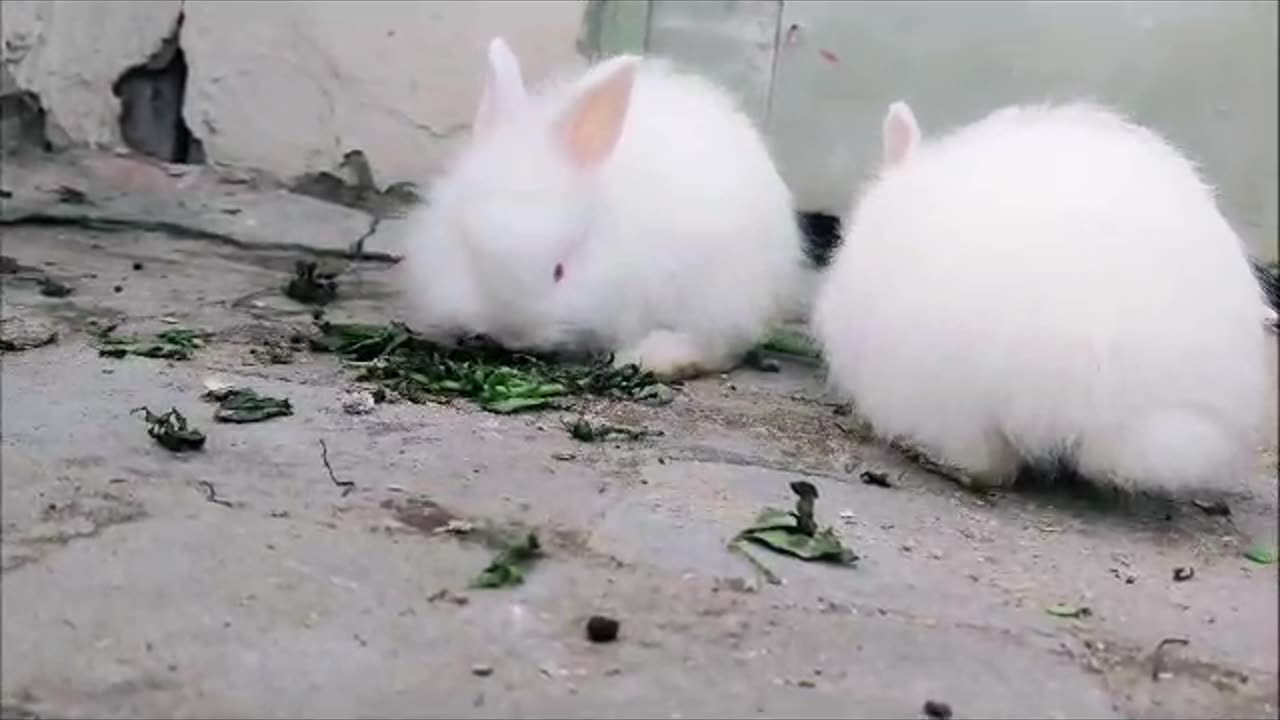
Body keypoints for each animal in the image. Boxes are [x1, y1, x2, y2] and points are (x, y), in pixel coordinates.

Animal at [397, 37, 811, 381]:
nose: (514, 335)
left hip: (723, 294)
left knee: (718, 347)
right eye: (467, 254)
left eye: (560, 270)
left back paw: (656, 358)